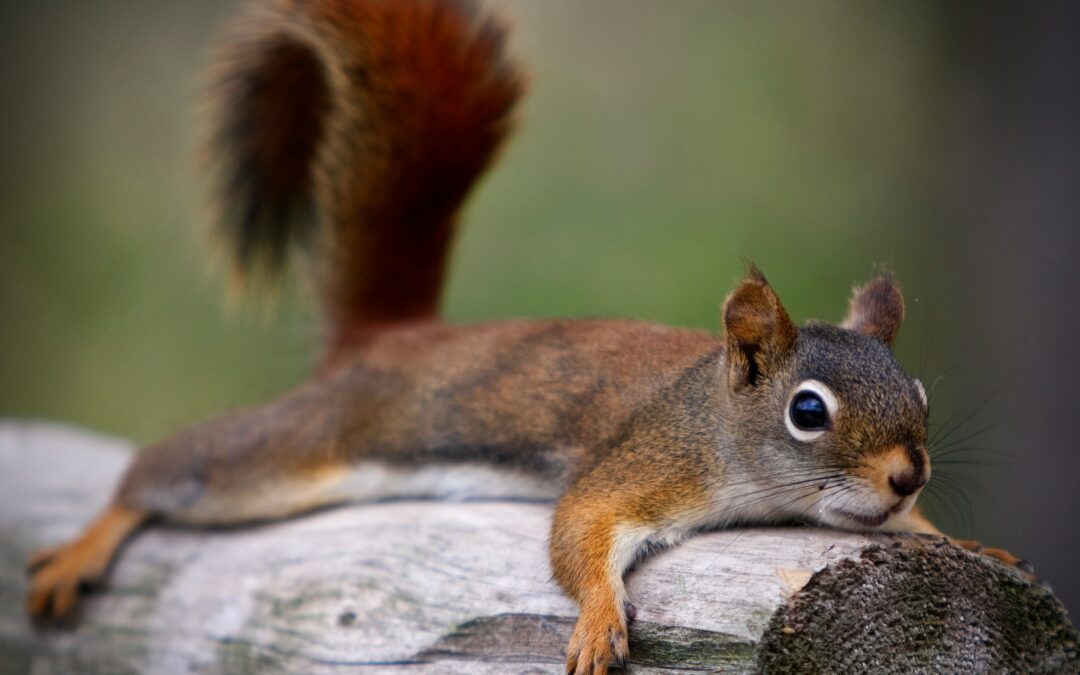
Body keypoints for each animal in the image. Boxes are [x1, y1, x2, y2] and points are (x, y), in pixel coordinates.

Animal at [25, 1, 1032, 673]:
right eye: (809, 411)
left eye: (921, 396)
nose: (909, 473)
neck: (717, 418)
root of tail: (392, 339)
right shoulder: (646, 461)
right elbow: (577, 530)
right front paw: (596, 619)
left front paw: (961, 541)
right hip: (307, 444)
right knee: (179, 466)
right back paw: (85, 545)